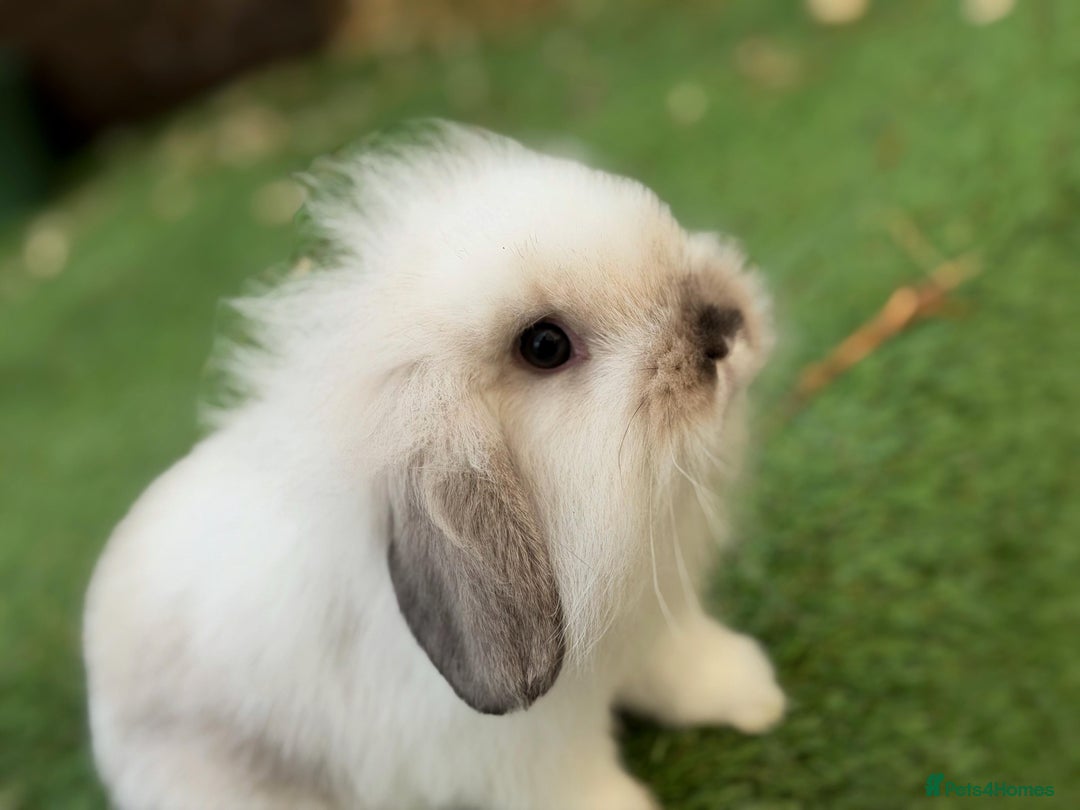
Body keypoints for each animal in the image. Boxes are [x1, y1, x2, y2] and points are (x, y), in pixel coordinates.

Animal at [83, 121, 785, 810]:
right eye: (545, 346)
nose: (724, 326)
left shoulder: (655, 628)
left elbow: (686, 669)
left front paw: (757, 697)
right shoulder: (532, 757)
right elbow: (584, 788)